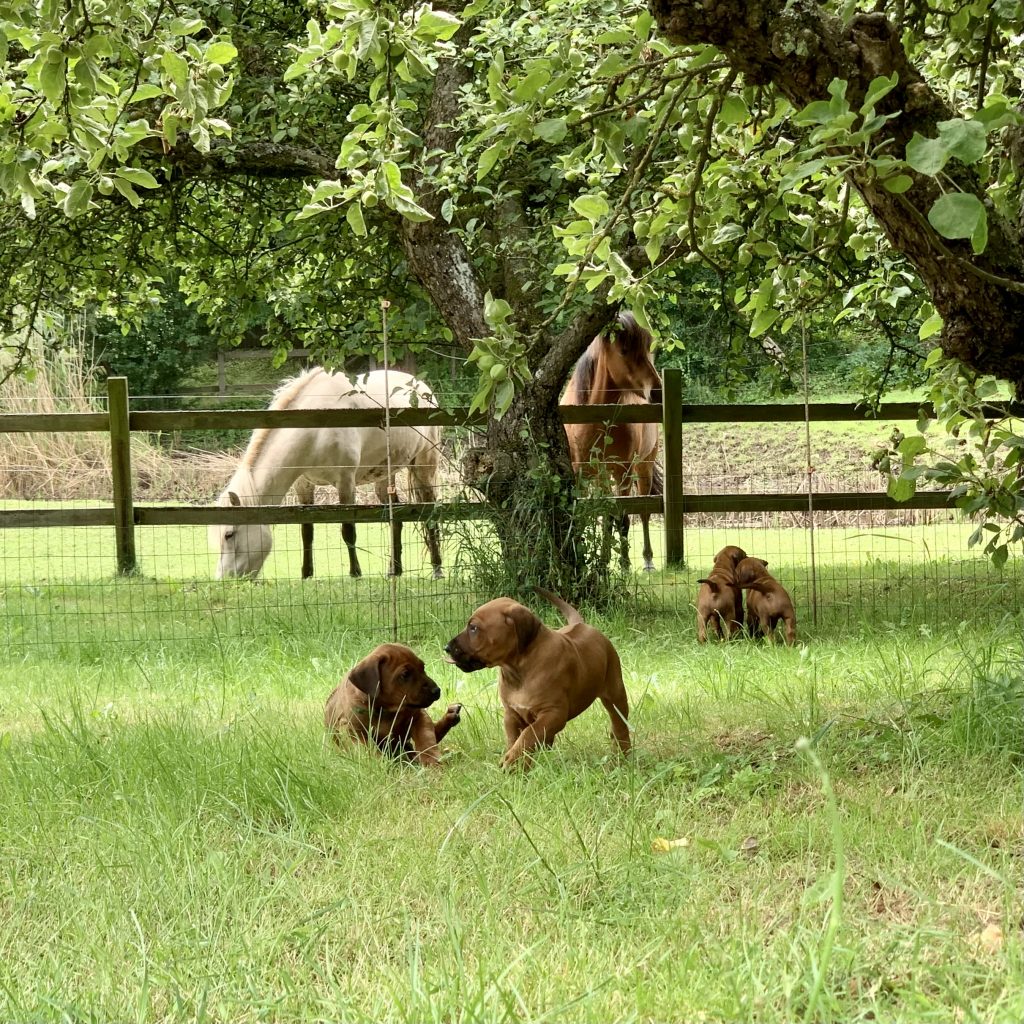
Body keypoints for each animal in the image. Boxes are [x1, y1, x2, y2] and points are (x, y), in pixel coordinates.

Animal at [209, 368, 442, 581]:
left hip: (424, 468)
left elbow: (348, 530)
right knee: (396, 519)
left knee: (431, 515)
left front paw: (355, 573)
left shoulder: (345, 482)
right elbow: (306, 531)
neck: (315, 428)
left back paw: (437, 569)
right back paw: (394, 571)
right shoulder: (303, 484)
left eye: (229, 534)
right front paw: (306, 574)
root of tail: (422, 387)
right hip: (384, 476)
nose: (224, 580)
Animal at [323, 643, 460, 765]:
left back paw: (451, 716)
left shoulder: (419, 716)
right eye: (405, 674)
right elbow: (369, 750)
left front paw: (431, 761)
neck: (386, 710)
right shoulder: (351, 729)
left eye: (423, 667)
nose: (436, 691)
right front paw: (381, 765)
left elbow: (426, 740)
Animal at [448, 585, 630, 770]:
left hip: (615, 692)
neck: (517, 670)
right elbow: (516, 739)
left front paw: (513, 760)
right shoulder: (511, 714)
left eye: (473, 628)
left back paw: (622, 755)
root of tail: (581, 624)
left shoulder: (554, 713)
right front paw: (518, 765)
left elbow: (530, 733)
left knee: (620, 725)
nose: (446, 648)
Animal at [565, 311, 659, 573]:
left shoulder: (623, 473)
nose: (657, 391)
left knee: (644, 511)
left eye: (649, 348)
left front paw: (624, 564)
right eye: (624, 350)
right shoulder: (582, 474)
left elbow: (622, 517)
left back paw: (647, 561)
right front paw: (601, 562)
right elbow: (596, 516)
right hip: (602, 477)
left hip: (644, 466)